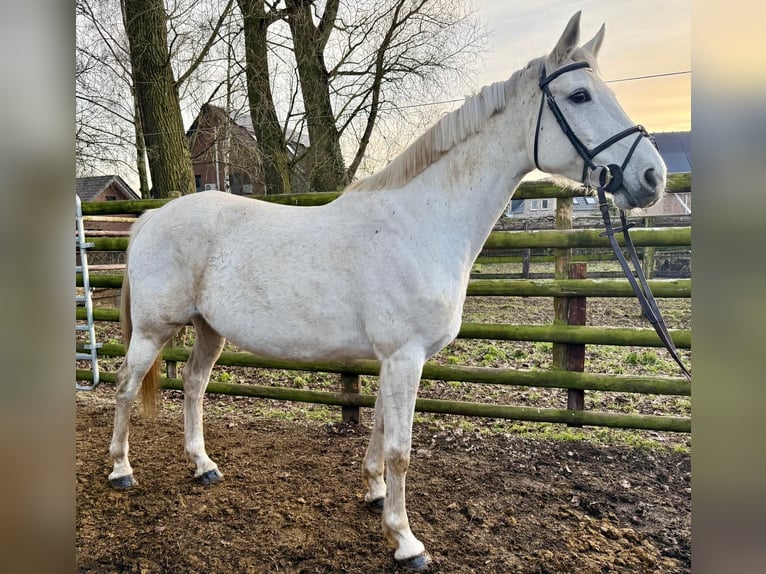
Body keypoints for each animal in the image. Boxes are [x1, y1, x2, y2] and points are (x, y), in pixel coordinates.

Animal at [108, 12, 666, 570]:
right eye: (579, 96)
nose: (651, 176)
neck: (419, 223)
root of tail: (152, 217)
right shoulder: (405, 356)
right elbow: (401, 449)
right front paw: (405, 540)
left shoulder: (392, 359)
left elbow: (377, 428)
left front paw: (375, 494)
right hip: (154, 330)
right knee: (125, 387)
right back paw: (120, 470)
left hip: (209, 330)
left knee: (194, 385)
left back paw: (203, 465)